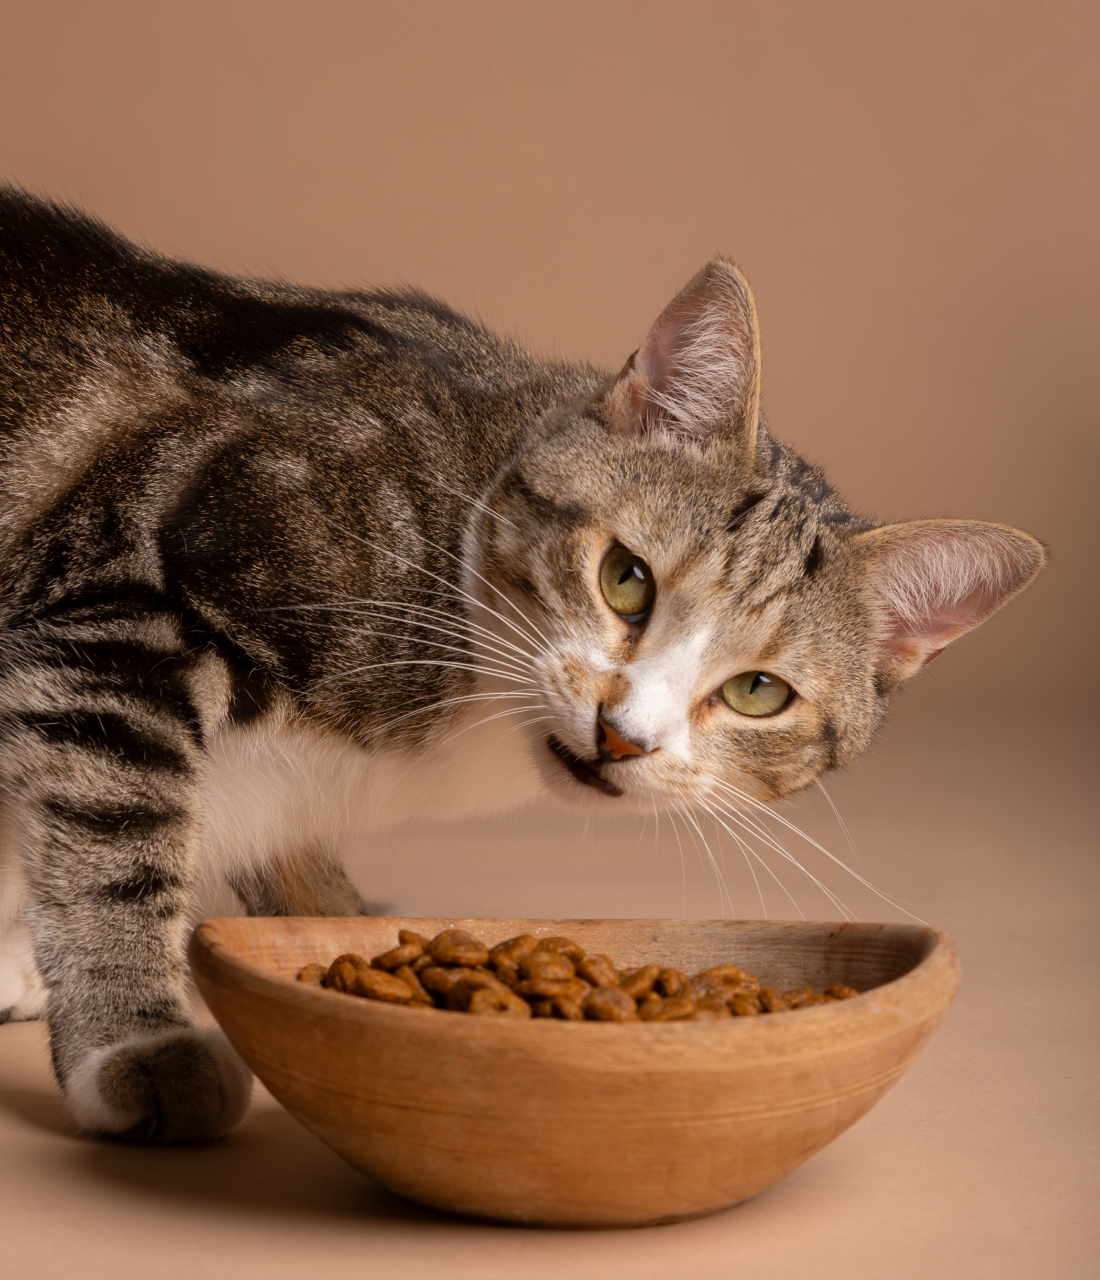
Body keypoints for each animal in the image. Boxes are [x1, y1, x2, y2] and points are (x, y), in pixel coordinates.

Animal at [0, 186, 1044, 1141]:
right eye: (626, 579)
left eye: (758, 692)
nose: (622, 736)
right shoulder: (135, 586)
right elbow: (119, 833)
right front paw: (138, 1034)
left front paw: (332, 919)